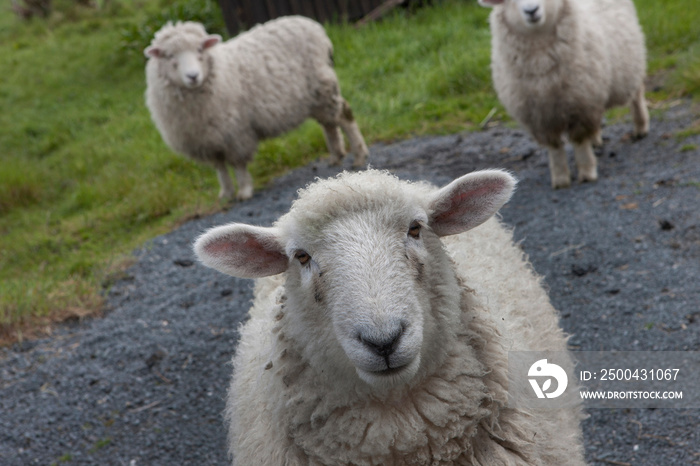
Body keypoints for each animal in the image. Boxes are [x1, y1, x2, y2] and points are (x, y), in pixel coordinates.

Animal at [144, 17, 370, 200]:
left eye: (200, 50)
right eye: (169, 56)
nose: (192, 76)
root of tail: (314, 27)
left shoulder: (235, 132)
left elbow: (238, 165)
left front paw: (244, 191)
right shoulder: (208, 139)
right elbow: (220, 168)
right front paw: (226, 193)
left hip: (323, 87)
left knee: (344, 116)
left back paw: (359, 155)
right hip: (315, 97)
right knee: (329, 124)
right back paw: (336, 156)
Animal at [478, 0, 648, 189]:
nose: (531, 10)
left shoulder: (581, 105)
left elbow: (579, 140)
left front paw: (587, 172)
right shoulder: (540, 117)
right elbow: (555, 147)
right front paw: (560, 178)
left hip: (628, 64)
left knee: (636, 95)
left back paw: (641, 127)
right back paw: (596, 138)